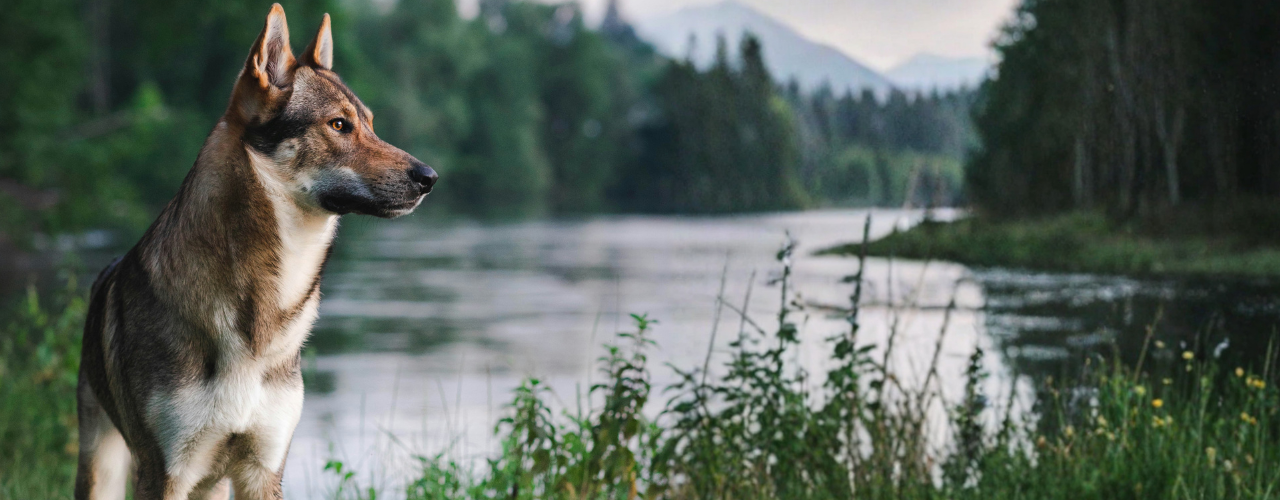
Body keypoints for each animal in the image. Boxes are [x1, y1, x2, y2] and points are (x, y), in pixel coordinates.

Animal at [74, 5, 437, 499]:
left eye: (370, 124)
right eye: (339, 125)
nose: (430, 177)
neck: (263, 316)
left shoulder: (265, 469)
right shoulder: (163, 472)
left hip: (209, 485)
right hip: (105, 469)